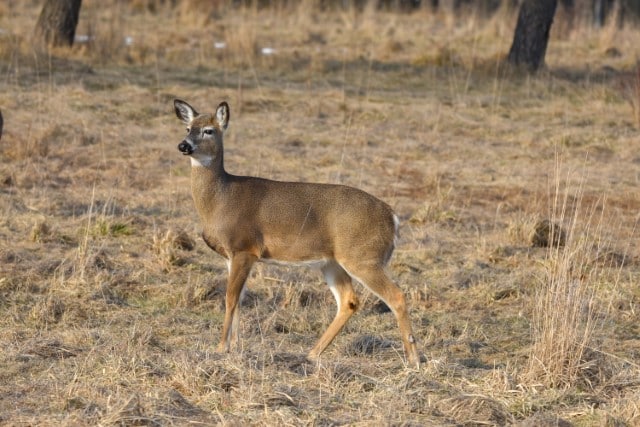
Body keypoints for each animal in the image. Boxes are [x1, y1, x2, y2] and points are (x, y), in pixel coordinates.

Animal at [172, 99, 420, 368]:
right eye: (187, 128)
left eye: (208, 130)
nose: (183, 145)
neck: (221, 199)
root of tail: (392, 217)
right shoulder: (234, 255)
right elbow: (239, 299)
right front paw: (234, 347)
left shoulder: (244, 247)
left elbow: (230, 298)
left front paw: (220, 348)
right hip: (333, 262)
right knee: (349, 301)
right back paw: (312, 353)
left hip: (363, 257)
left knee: (396, 296)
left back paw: (414, 359)